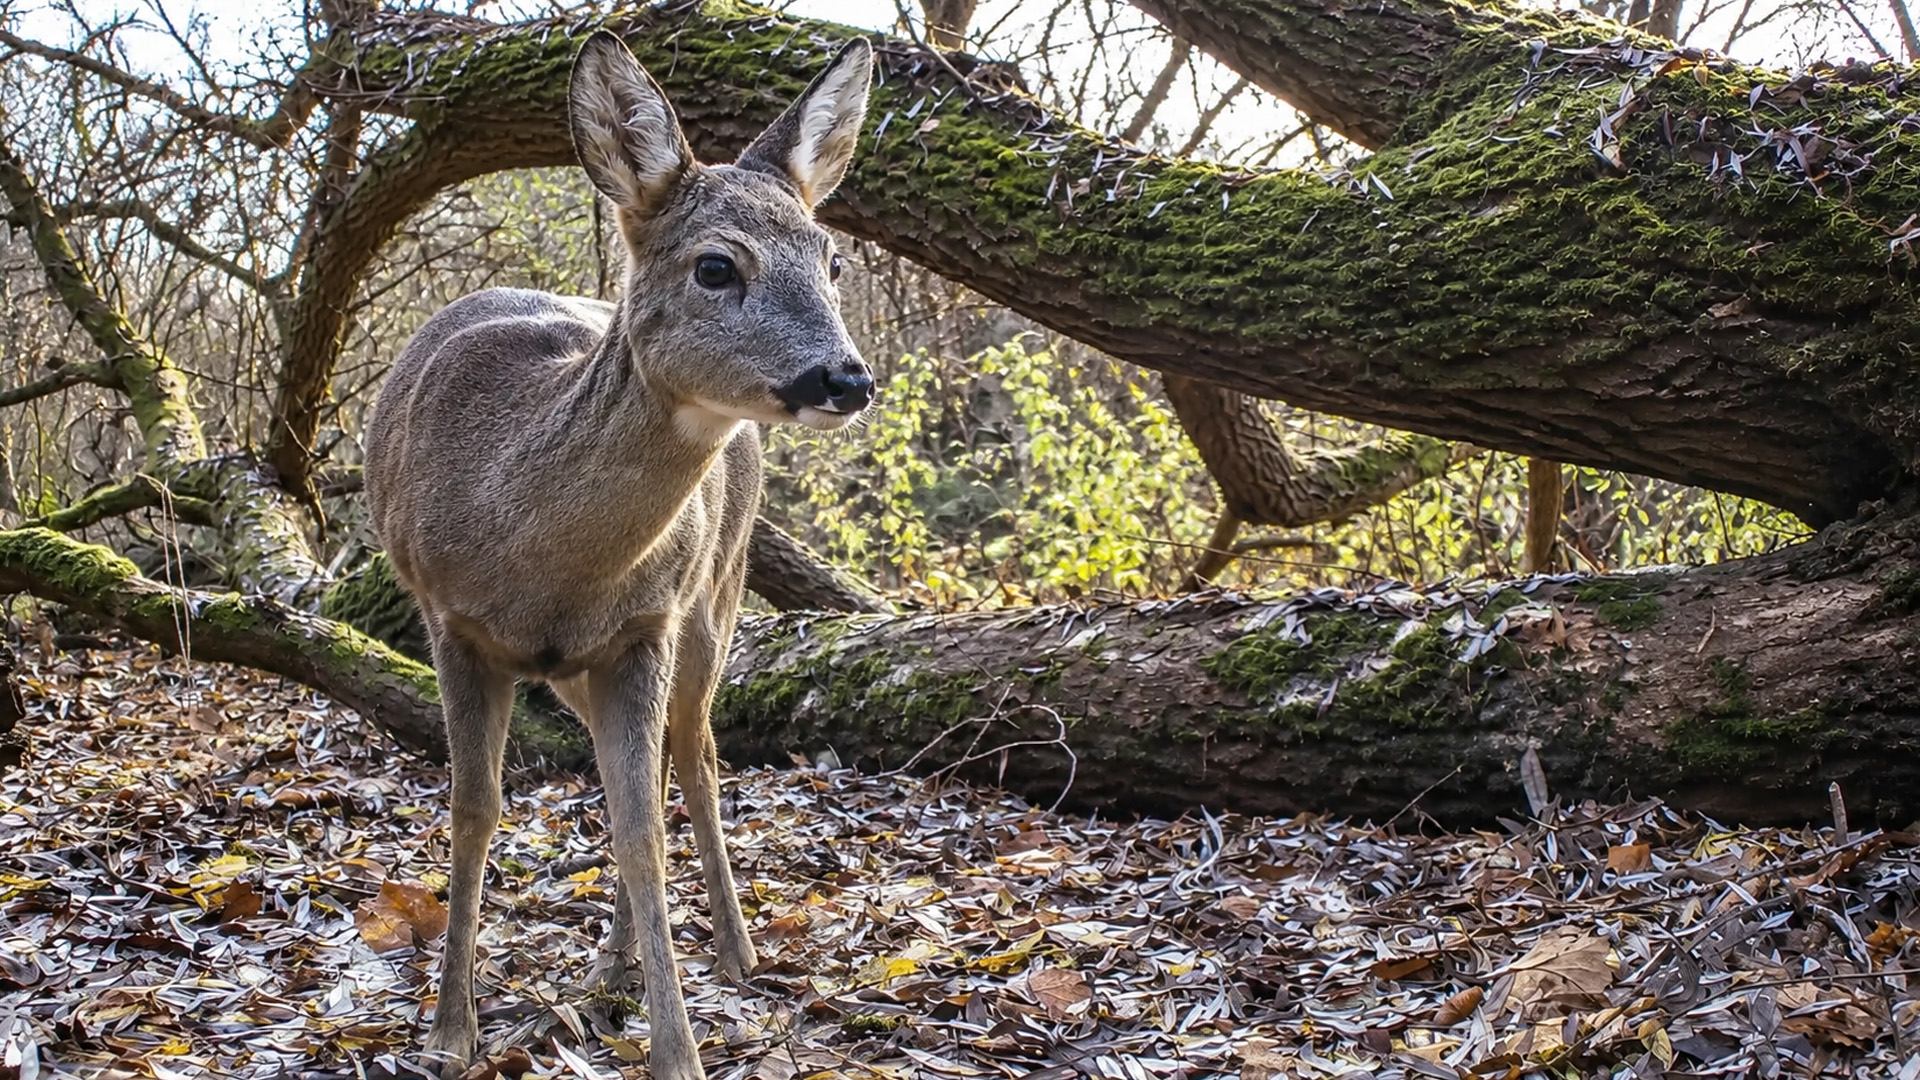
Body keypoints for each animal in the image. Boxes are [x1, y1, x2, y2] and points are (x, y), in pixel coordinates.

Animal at [362, 30, 875, 1080]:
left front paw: (677, 1051)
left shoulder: (645, 626)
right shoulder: (451, 621)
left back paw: (732, 949)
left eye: (833, 260)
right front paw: (449, 1030)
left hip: (714, 598)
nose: (847, 377)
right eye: (717, 267)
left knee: (697, 752)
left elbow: (641, 831)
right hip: (579, 666)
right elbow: (475, 811)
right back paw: (613, 966)